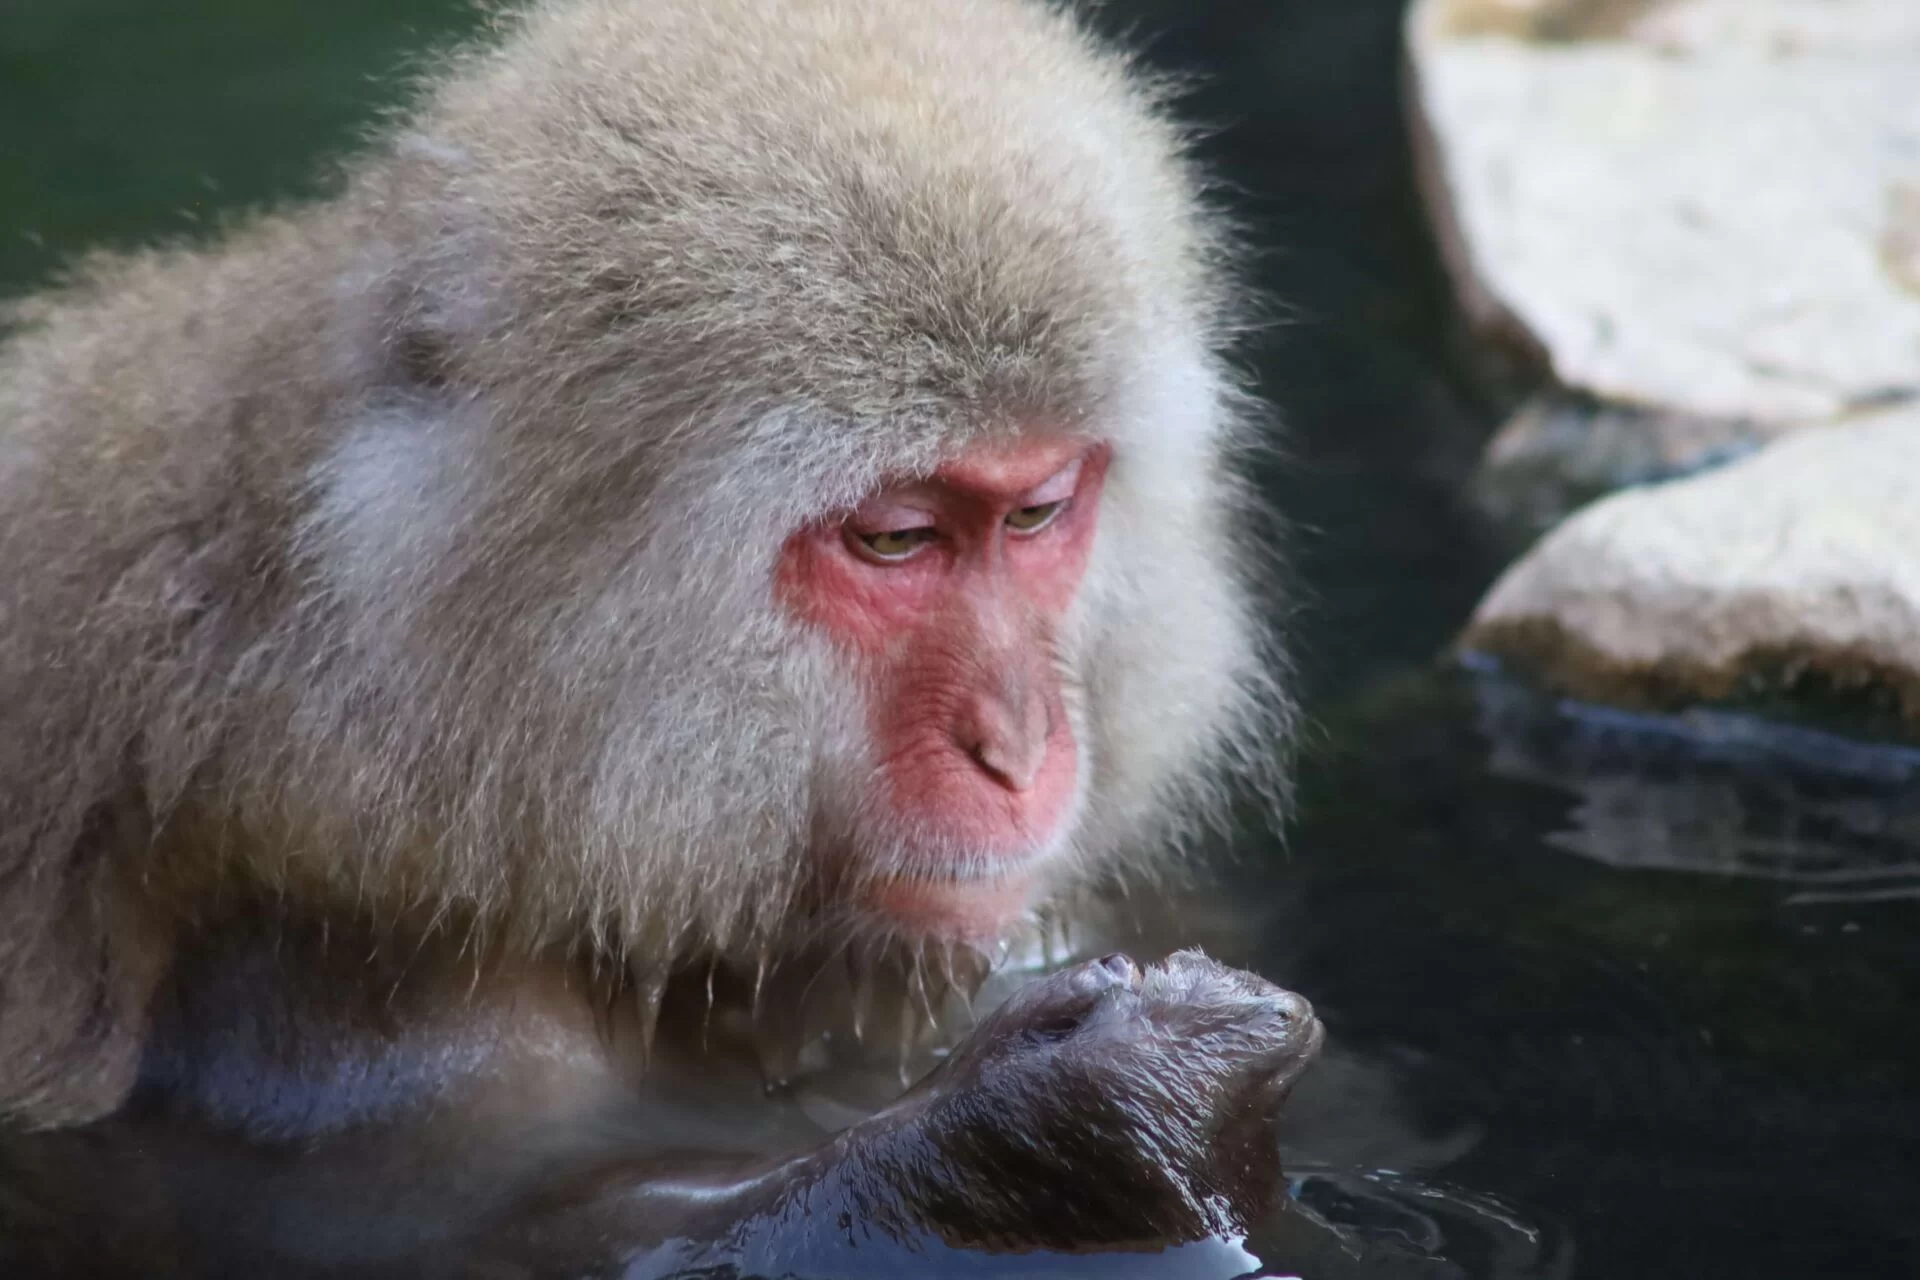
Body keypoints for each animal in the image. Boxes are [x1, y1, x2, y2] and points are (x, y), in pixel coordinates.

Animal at [0, 0, 1306, 1272]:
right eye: (896, 538)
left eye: (1034, 513)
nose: (1020, 745)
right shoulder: (328, 921)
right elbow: (494, 1218)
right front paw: (1098, 1107)